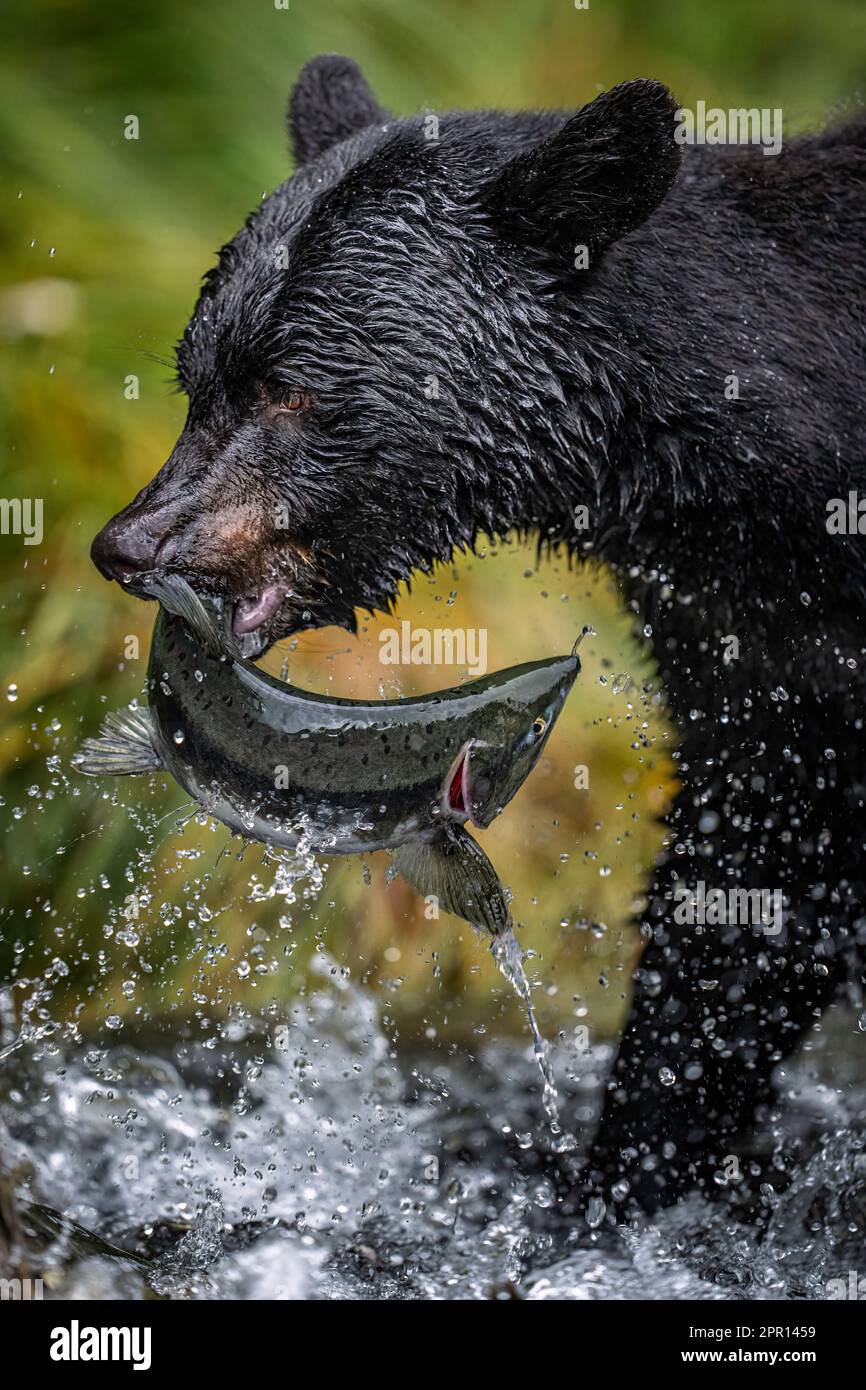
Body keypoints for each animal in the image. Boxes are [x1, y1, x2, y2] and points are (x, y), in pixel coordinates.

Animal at [91, 54, 866, 1212]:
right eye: (196, 376)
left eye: (287, 386)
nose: (131, 544)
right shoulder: (757, 654)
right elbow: (746, 902)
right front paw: (629, 1180)